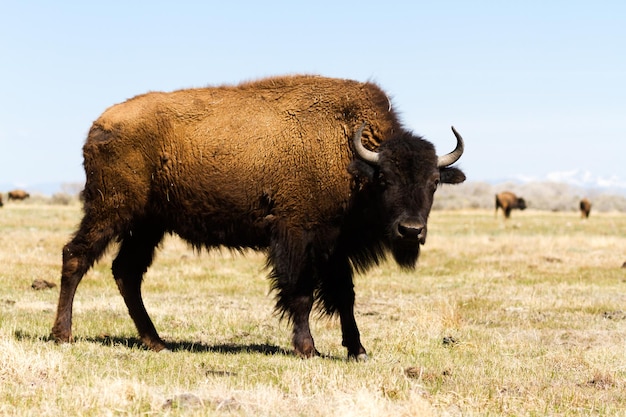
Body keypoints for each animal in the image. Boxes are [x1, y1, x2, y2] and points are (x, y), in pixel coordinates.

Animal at [51, 74, 466, 358]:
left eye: (434, 182)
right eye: (384, 179)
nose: (411, 230)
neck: (349, 154)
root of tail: (99, 125)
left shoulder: (334, 246)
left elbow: (344, 295)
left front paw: (357, 350)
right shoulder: (297, 237)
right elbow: (301, 294)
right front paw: (308, 348)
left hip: (147, 225)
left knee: (126, 272)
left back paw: (156, 341)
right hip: (111, 211)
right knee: (76, 256)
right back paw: (62, 335)